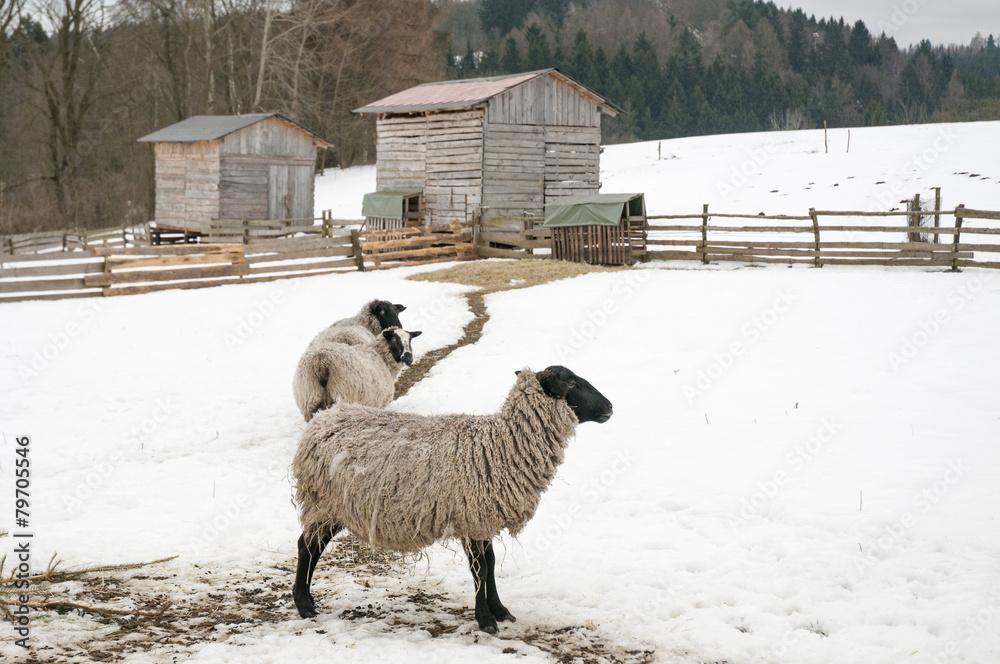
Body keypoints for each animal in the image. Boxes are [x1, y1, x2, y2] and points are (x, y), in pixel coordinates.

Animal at [291, 365, 613, 633]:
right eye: (571, 382)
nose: (610, 407)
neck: (501, 445)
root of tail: (322, 420)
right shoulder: (470, 517)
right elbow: (480, 569)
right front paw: (485, 620)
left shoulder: (483, 518)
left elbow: (490, 563)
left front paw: (499, 610)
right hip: (324, 503)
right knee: (307, 547)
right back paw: (304, 605)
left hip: (332, 506)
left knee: (312, 547)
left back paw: (308, 600)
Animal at [292, 328, 422, 421]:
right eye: (394, 340)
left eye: (410, 340)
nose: (408, 357)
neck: (381, 357)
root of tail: (320, 361)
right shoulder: (378, 402)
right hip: (343, 395)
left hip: (309, 398)